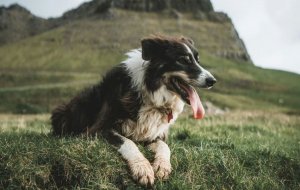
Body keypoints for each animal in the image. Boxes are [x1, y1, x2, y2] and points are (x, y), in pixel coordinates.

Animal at [51, 35, 216, 186]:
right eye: (183, 60)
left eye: (197, 60)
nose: (212, 81)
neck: (150, 95)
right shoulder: (97, 130)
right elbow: (127, 141)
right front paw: (142, 167)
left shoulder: (154, 134)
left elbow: (164, 146)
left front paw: (162, 166)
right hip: (61, 113)